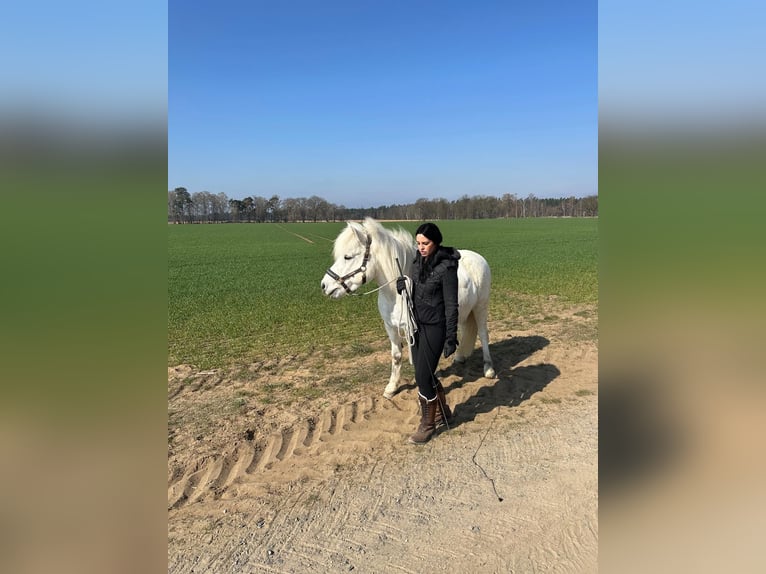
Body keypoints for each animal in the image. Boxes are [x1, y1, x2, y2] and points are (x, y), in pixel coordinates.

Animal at [320, 217, 496, 398]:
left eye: (347, 257)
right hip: (463, 312)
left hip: (480, 307)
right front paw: (392, 387)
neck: (396, 294)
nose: (324, 286)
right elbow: (396, 356)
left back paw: (488, 368)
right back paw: (460, 356)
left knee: (483, 334)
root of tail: (478, 257)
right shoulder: (390, 327)